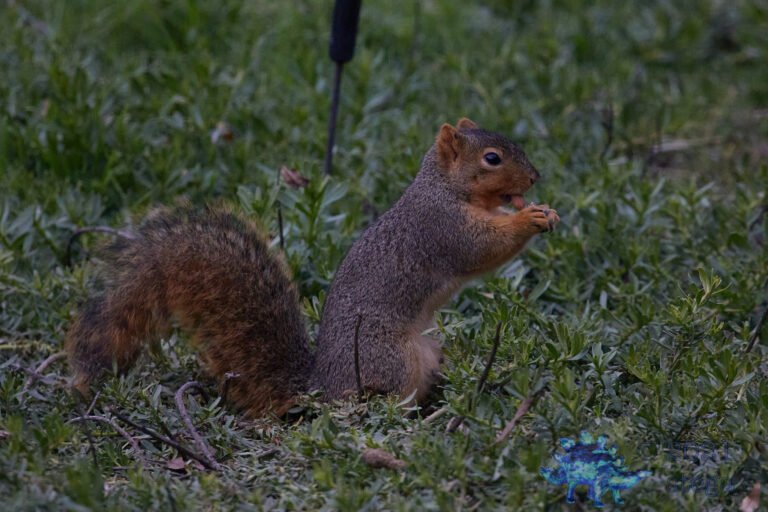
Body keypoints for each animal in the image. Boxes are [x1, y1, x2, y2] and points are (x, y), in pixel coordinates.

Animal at [65, 118, 559, 418]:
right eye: (491, 158)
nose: (535, 177)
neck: (444, 188)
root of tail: (323, 385)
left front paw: (543, 210)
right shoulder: (442, 228)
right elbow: (481, 249)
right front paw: (528, 218)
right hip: (389, 358)